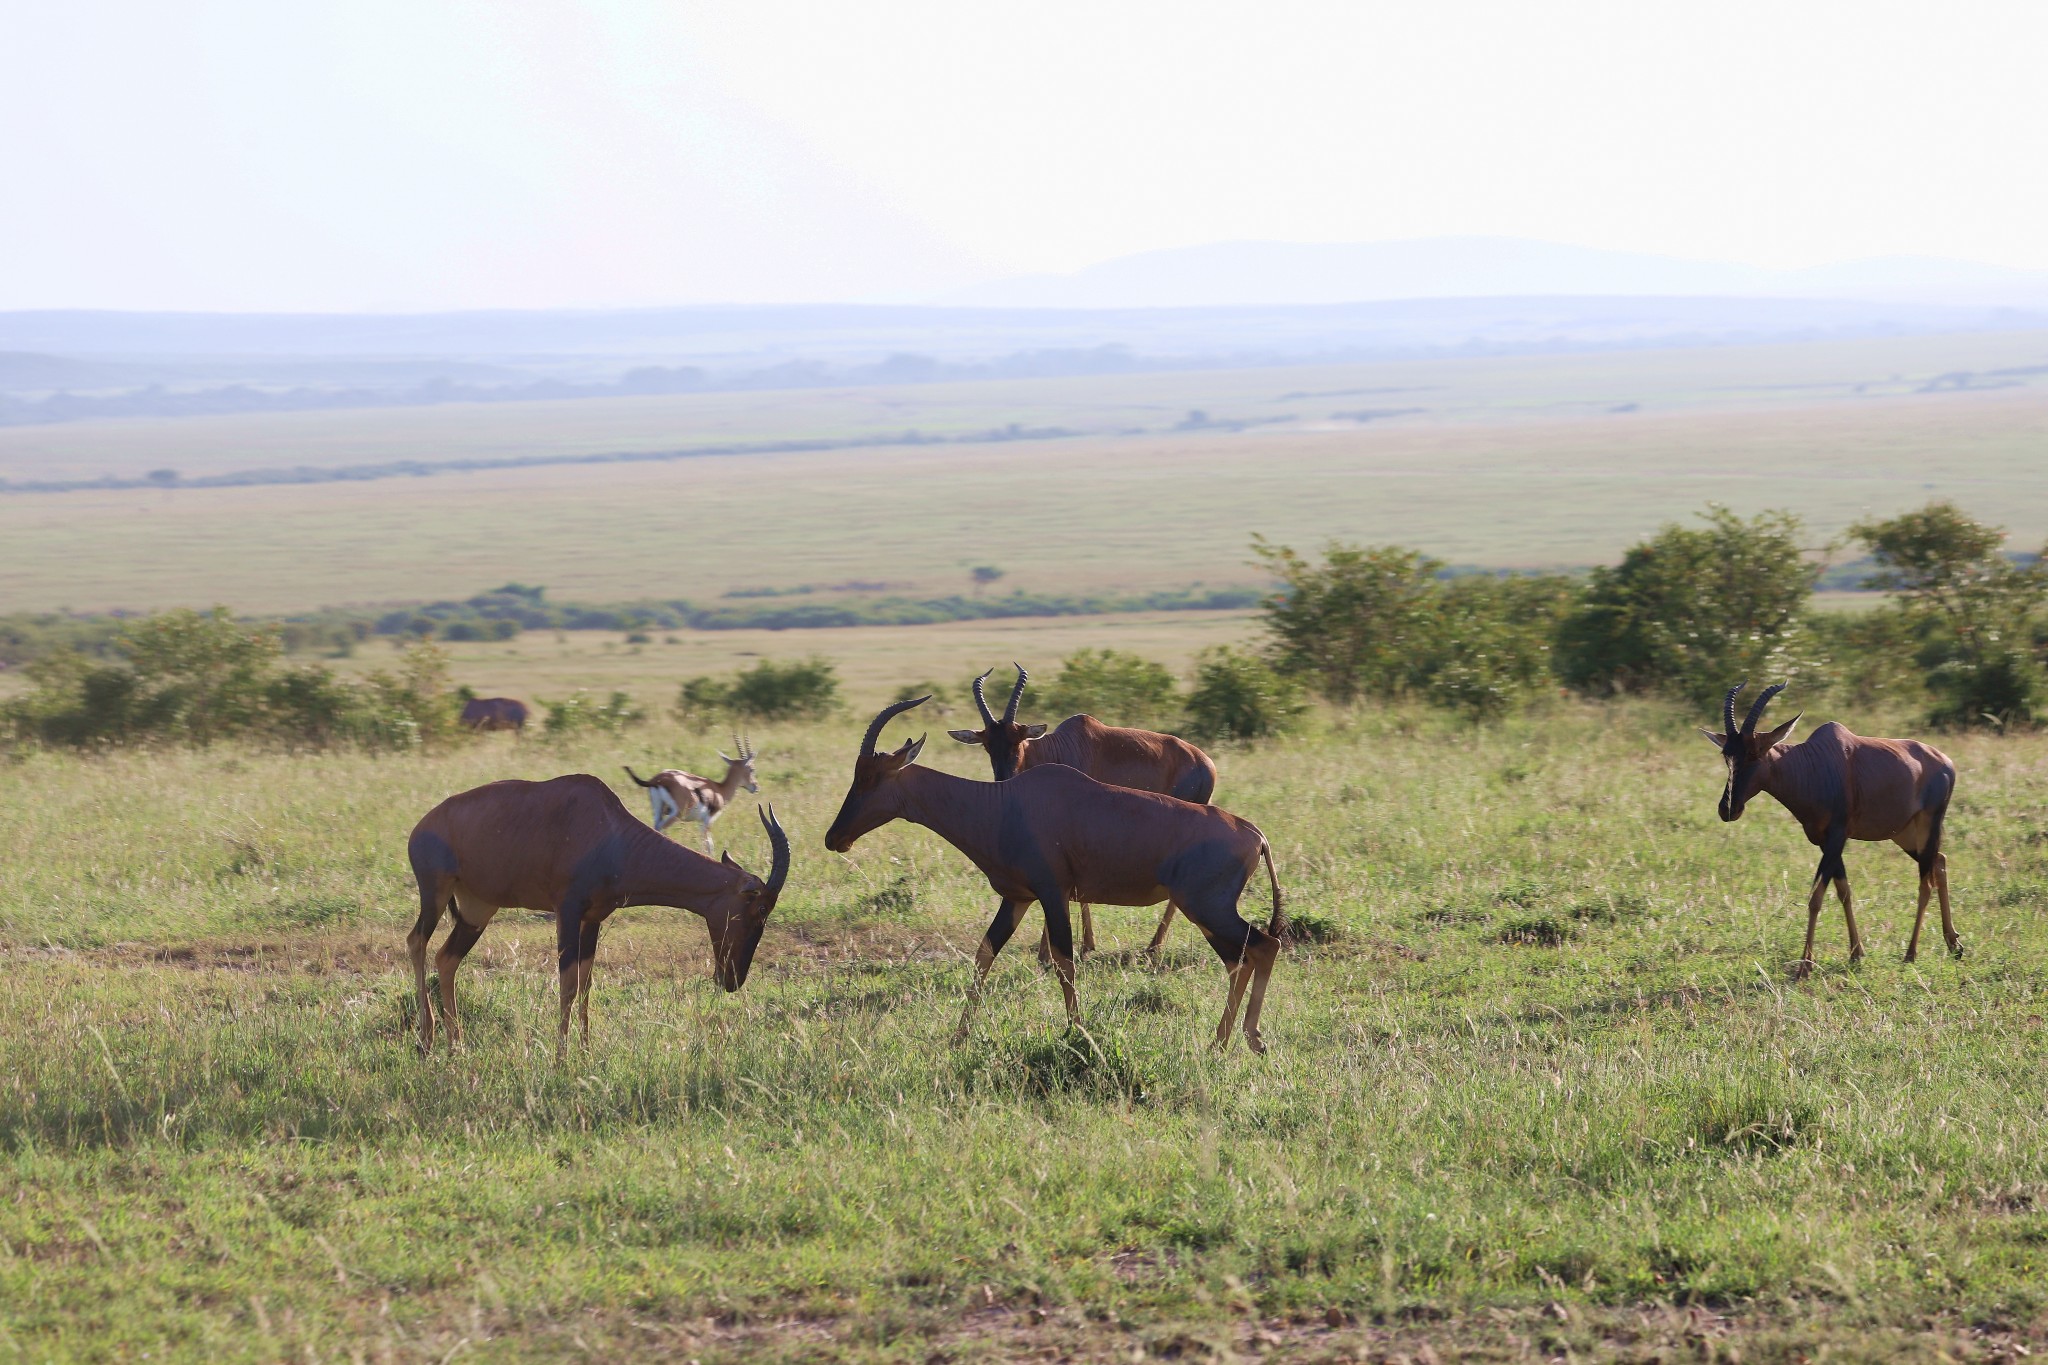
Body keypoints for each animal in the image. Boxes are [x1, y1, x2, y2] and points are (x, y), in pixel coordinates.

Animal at [403, 777, 786, 1055]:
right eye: (760, 909)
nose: (732, 980)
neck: (610, 831)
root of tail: (420, 828)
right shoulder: (567, 911)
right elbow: (567, 984)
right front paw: (561, 1058)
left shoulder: (593, 920)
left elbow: (586, 981)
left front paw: (586, 1052)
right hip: (435, 893)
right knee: (416, 942)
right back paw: (426, 1040)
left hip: (476, 909)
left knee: (446, 958)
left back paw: (456, 1046)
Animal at [622, 732, 761, 847]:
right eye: (752, 769)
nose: (756, 787)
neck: (719, 790)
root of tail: (658, 779)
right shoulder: (707, 822)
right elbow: (708, 845)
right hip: (676, 814)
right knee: (662, 828)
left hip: (658, 810)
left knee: (655, 827)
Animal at [819, 699, 1277, 1055]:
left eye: (871, 777)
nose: (834, 838)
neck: (1006, 802)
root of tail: (1256, 835)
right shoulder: (1018, 898)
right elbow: (985, 954)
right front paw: (957, 1038)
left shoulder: (1054, 894)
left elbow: (1064, 961)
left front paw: (1080, 1036)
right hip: (1208, 913)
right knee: (1242, 958)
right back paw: (1224, 1043)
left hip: (1208, 908)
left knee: (1262, 947)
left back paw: (1244, 1040)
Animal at [942, 667, 1212, 957]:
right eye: (988, 745)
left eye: (1019, 742)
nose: (1004, 783)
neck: (1060, 748)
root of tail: (1205, 763)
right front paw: (1080, 946)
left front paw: (1050, 954)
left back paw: (1154, 946)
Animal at [1703, 679, 1957, 978]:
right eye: (1726, 755)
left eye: (1754, 753)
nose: (1728, 809)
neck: (1813, 765)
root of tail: (1945, 761)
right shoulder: (1825, 841)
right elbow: (1843, 890)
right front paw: (1856, 954)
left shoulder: (1837, 836)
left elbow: (1815, 897)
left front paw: (1805, 966)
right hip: (1905, 835)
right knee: (1940, 861)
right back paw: (1954, 944)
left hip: (1929, 824)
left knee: (1926, 881)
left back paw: (1911, 954)